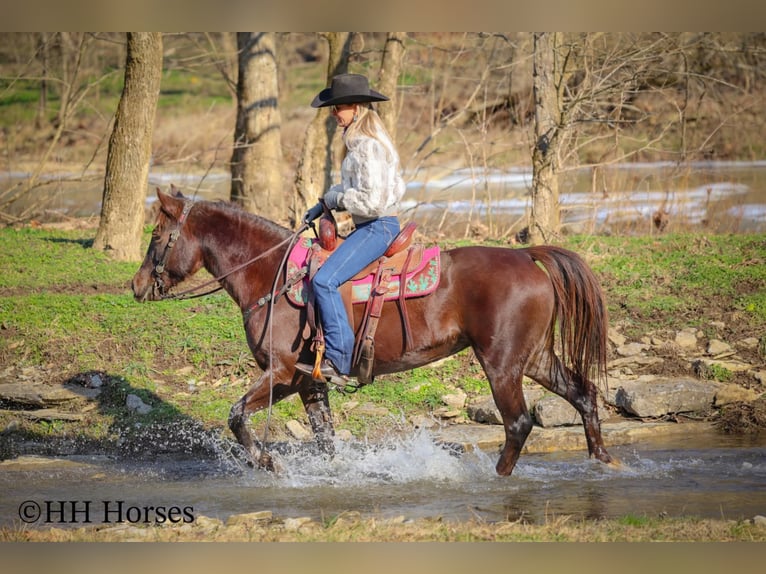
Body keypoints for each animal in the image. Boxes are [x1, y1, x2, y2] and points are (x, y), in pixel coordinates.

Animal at [131, 188, 614, 476]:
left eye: (155, 235)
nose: (136, 287)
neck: (273, 275)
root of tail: (527, 256)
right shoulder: (308, 381)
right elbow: (324, 437)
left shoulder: (281, 374)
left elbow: (236, 415)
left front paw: (267, 462)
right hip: (532, 358)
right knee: (583, 393)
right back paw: (603, 461)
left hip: (501, 365)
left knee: (518, 423)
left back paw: (497, 476)